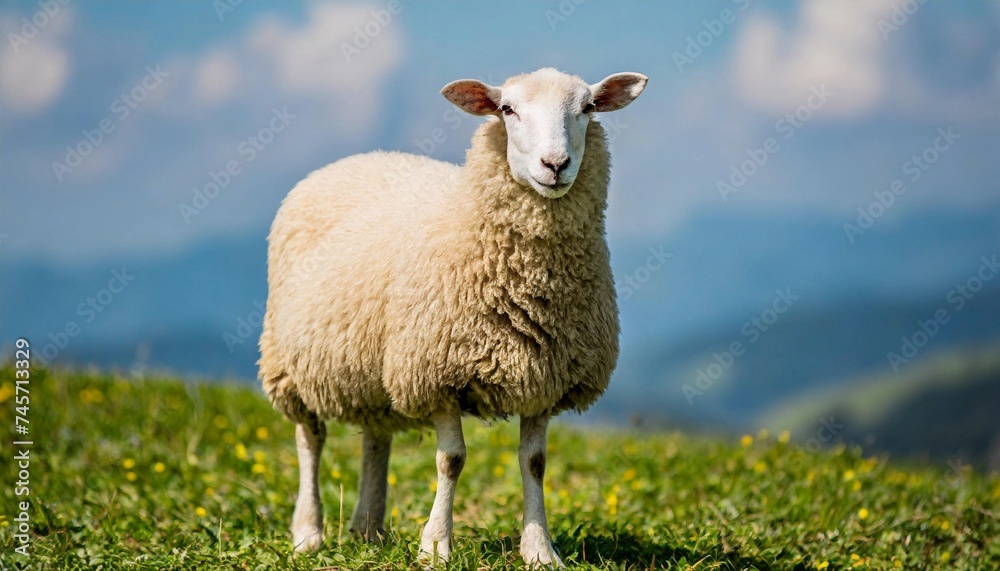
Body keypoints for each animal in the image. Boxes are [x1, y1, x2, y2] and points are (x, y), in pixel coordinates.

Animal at [258, 67, 647, 566]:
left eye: (588, 107)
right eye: (507, 109)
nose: (555, 164)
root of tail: (355, 158)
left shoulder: (544, 378)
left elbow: (535, 463)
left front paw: (540, 550)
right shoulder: (436, 371)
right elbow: (452, 460)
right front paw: (436, 547)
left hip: (376, 366)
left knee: (375, 437)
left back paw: (369, 529)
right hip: (291, 362)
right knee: (310, 439)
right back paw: (309, 532)